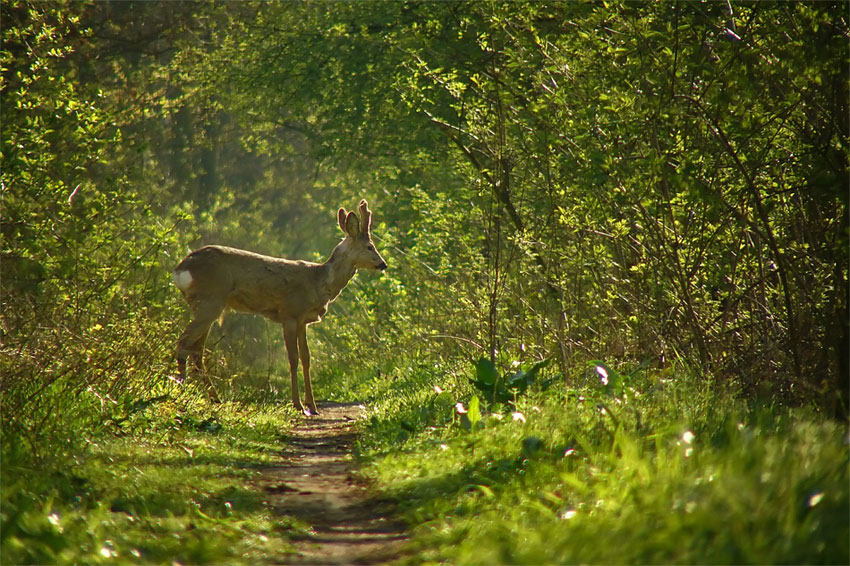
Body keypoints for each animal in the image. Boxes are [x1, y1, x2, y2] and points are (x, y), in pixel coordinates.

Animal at [174, 202, 386, 414]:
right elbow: (293, 358)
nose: (383, 264)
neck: (319, 282)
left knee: (197, 350)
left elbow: (306, 358)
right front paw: (298, 404)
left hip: (207, 306)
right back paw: (181, 391)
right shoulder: (290, 314)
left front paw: (312, 405)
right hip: (210, 301)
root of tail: (180, 269)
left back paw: (214, 398)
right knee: (184, 341)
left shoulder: (303, 321)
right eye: (370, 247)